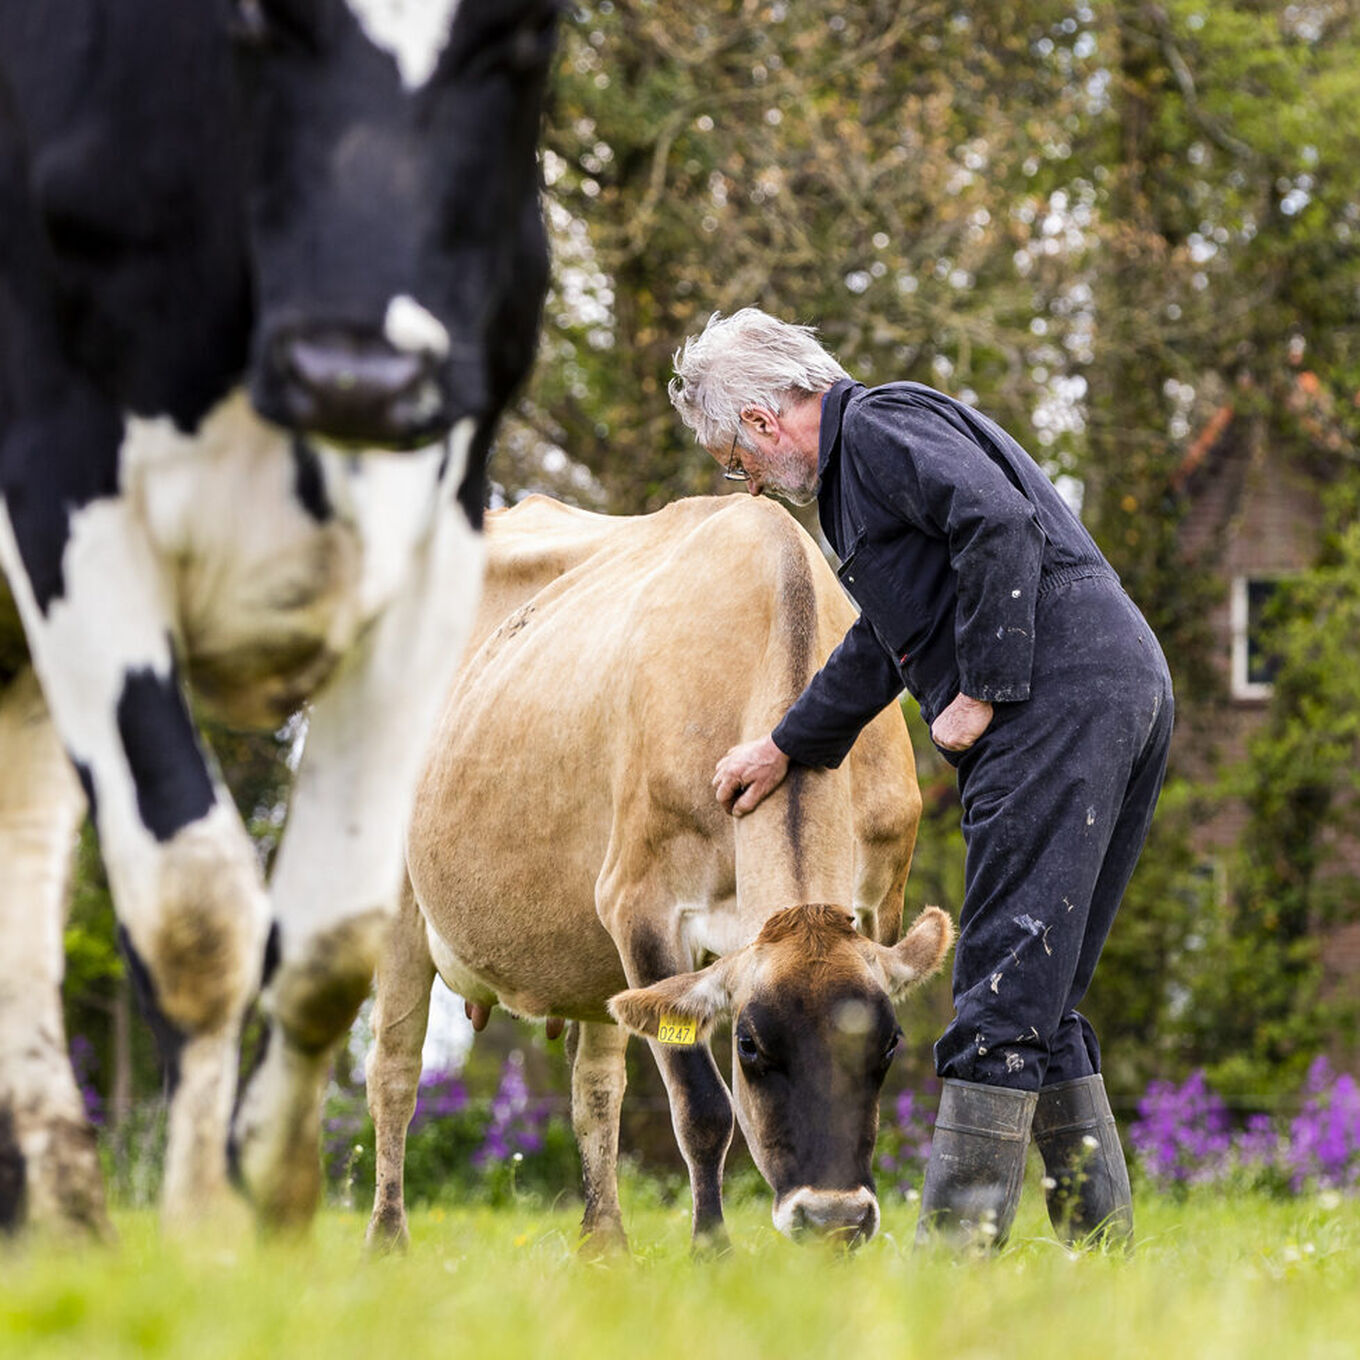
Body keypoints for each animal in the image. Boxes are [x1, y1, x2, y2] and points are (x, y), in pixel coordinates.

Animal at [0, 0, 560, 1236]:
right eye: (260, 19)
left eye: (523, 38)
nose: (354, 374)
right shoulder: (61, 489)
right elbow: (196, 906)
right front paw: (208, 1230)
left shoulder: (437, 529)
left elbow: (329, 935)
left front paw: (275, 1207)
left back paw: (66, 1217)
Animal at [364, 494, 951, 1252]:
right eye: (749, 1045)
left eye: (889, 1043)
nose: (831, 1217)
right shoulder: (642, 907)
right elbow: (701, 1108)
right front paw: (711, 1250)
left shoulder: (882, 898)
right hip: (397, 899)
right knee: (394, 1073)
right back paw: (387, 1238)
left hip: (590, 955)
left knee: (595, 1086)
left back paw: (605, 1245)